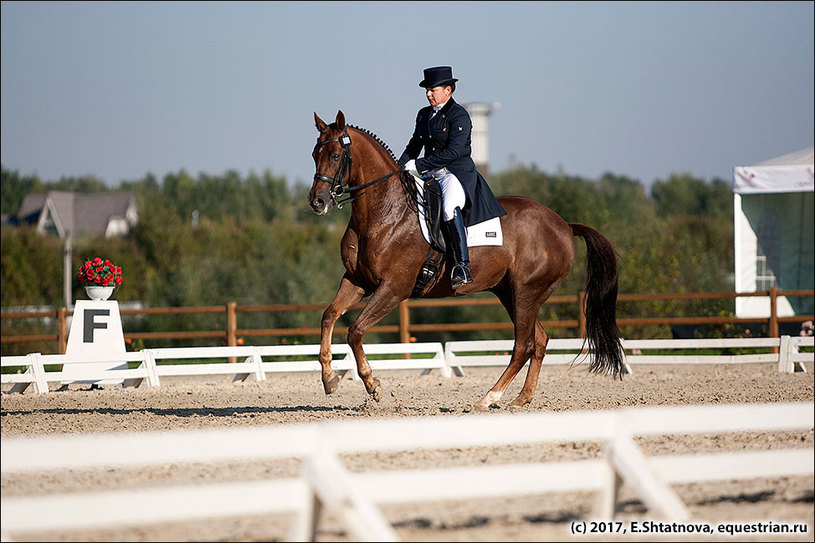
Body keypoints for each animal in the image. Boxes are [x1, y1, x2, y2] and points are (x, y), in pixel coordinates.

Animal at [310, 111, 620, 412]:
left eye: (335, 156)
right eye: (315, 154)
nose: (317, 202)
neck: (385, 212)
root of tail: (564, 225)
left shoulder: (394, 288)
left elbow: (355, 330)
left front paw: (372, 385)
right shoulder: (357, 281)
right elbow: (329, 316)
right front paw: (329, 378)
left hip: (526, 292)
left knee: (524, 345)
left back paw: (489, 398)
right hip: (511, 293)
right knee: (539, 341)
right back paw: (522, 398)